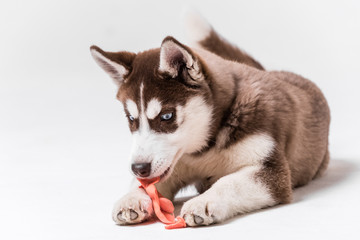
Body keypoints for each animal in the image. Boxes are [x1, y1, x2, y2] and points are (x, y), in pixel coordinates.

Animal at [89, 12, 330, 227]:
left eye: (167, 116)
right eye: (131, 118)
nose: (139, 168)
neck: (205, 148)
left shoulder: (273, 172)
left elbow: (229, 182)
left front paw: (204, 202)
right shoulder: (177, 164)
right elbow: (144, 185)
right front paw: (131, 198)